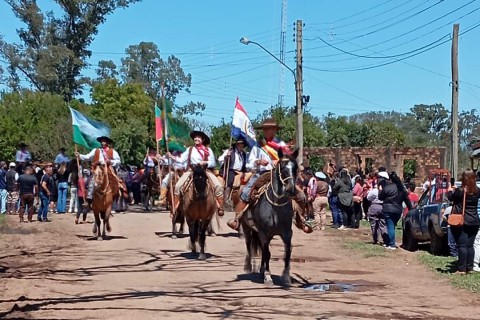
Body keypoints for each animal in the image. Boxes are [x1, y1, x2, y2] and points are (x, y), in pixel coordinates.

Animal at [244, 149, 300, 286]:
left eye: (295, 168)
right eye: (283, 167)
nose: (291, 189)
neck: (275, 207)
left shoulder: (287, 233)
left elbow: (287, 252)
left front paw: (286, 277)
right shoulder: (264, 232)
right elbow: (267, 253)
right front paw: (268, 276)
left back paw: (261, 271)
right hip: (247, 228)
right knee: (249, 246)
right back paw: (249, 267)